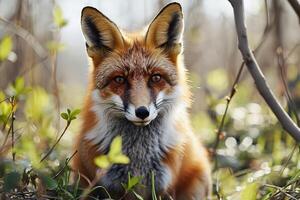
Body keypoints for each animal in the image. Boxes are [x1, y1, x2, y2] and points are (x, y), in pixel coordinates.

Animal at [73, 2, 211, 199]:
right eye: (119, 79)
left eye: (155, 77)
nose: (142, 112)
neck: (139, 156)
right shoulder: (105, 185)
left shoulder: (163, 186)